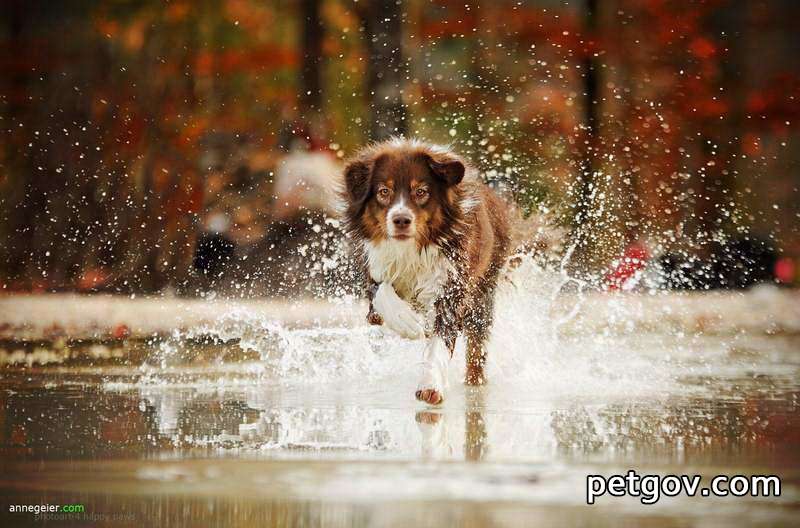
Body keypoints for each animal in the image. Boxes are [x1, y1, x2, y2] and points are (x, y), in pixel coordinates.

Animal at [340, 137, 510, 404]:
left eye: (421, 192)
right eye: (384, 191)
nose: (401, 219)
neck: (411, 249)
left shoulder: (452, 285)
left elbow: (440, 340)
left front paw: (431, 385)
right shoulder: (372, 268)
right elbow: (381, 294)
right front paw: (406, 320)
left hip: (483, 294)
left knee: (476, 350)